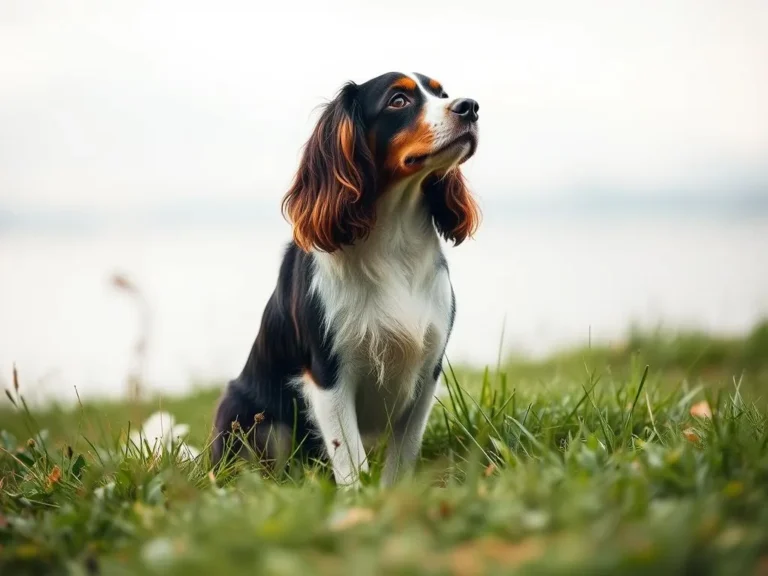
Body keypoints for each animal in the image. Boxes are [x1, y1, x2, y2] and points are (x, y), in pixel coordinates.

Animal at [210, 70, 480, 488]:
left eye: (442, 93)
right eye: (398, 101)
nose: (470, 107)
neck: (392, 243)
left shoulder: (427, 370)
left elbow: (402, 456)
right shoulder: (328, 374)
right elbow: (351, 459)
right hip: (244, 413)